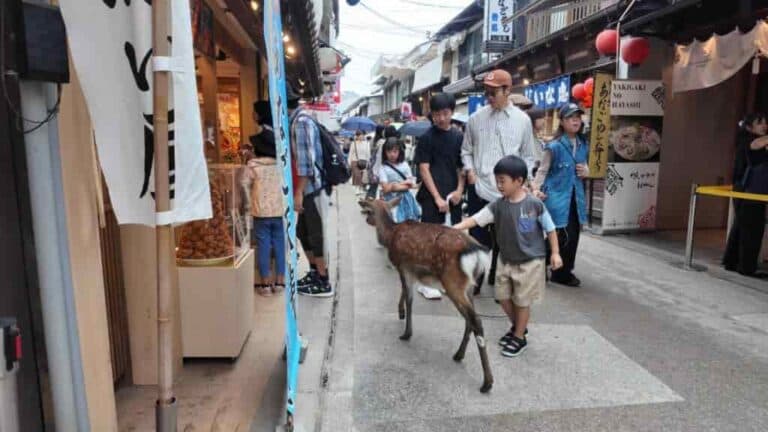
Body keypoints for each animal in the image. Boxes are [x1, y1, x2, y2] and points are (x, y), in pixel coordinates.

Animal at [359, 197, 494, 393]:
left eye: (369, 208)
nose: (367, 220)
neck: (390, 234)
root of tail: (478, 253)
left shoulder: (403, 266)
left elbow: (409, 298)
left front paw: (406, 333)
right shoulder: (409, 270)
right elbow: (404, 292)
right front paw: (400, 313)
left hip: (452, 282)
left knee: (476, 320)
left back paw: (487, 382)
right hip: (468, 285)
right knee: (470, 318)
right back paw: (459, 354)